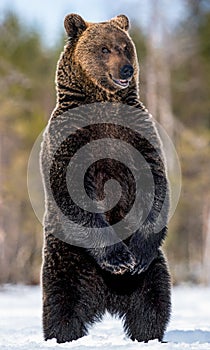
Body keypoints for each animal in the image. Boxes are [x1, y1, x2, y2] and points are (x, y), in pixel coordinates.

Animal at [40, 14, 171, 344]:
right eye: (104, 49)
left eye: (125, 47)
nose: (126, 69)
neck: (104, 102)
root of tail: (108, 298)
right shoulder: (71, 139)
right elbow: (72, 193)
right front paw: (119, 259)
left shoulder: (139, 135)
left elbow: (155, 185)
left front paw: (134, 257)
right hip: (67, 259)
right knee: (61, 303)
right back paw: (63, 335)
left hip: (154, 270)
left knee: (153, 303)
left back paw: (149, 336)